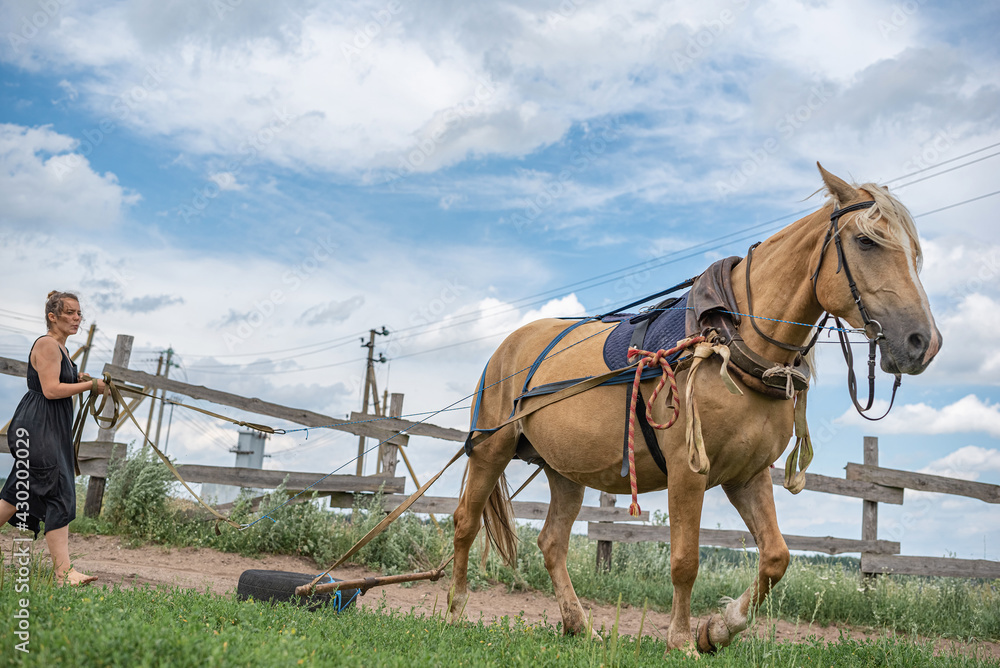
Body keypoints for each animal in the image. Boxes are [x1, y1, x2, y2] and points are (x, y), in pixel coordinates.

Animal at [447, 164, 941, 656]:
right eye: (866, 241)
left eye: (914, 252)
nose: (923, 342)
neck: (732, 343)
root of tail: (509, 345)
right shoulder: (688, 471)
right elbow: (685, 560)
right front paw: (682, 640)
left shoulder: (748, 474)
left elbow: (776, 557)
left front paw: (718, 628)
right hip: (491, 450)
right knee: (465, 523)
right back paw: (453, 610)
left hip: (565, 470)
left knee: (552, 543)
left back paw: (579, 624)